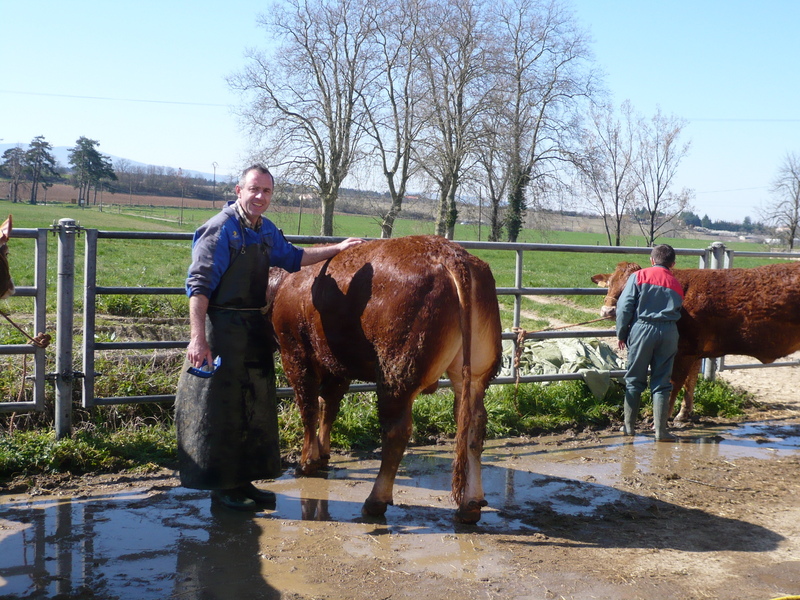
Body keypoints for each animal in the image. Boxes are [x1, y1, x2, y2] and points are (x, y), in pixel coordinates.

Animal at [270, 237, 506, 524]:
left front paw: (307, 462)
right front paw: (323, 453)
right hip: (475, 374)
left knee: (396, 431)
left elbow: (309, 408)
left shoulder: (295, 353)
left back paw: (375, 501)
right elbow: (329, 406)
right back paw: (470, 504)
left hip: (395, 372)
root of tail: (450, 253)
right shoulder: (337, 366)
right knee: (473, 424)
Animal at [592, 262, 800, 422]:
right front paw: (683, 414)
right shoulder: (695, 352)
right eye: (609, 283)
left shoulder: (683, 350)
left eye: (630, 286)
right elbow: (690, 381)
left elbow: (674, 383)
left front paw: (663, 418)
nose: (607, 311)